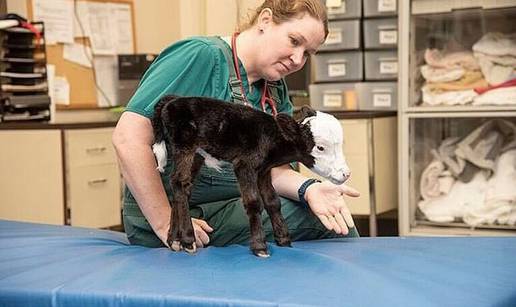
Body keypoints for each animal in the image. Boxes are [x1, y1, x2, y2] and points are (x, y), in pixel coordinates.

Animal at [151, 95, 348, 258]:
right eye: (320, 147)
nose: (346, 174)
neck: (272, 138)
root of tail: (172, 100)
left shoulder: (264, 170)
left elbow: (272, 201)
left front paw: (284, 239)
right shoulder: (244, 164)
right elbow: (254, 202)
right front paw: (260, 247)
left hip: (197, 154)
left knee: (180, 187)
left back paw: (174, 240)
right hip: (184, 144)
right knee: (180, 182)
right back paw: (187, 239)